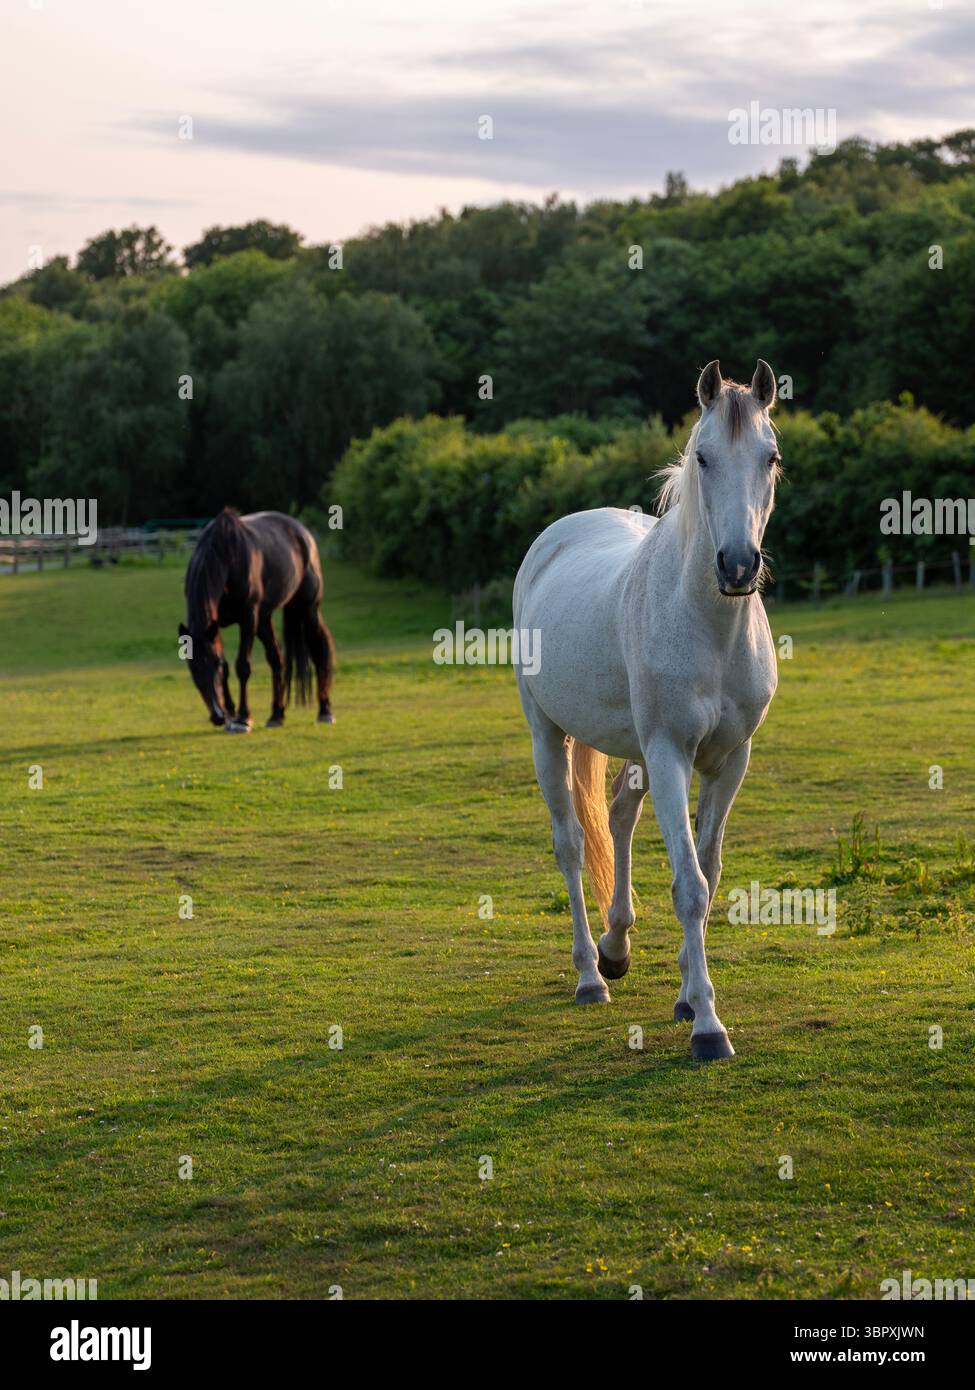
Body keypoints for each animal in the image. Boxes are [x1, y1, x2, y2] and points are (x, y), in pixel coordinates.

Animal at [179, 508, 335, 732]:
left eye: (213, 665)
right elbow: (228, 667)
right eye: (194, 668)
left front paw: (243, 718)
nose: (217, 716)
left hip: (308, 609)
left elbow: (242, 666)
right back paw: (276, 714)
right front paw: (231, 714)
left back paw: (324, 710)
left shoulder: (247, 618)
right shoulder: (217, 625)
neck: (226, 557)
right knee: (277, 658)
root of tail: (304, 534)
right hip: (264, 619)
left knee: (318, 650)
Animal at [513, 360, 780, 1060]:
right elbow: (689, 887)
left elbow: (707, 874)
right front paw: (709, 1026)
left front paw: (688, 997)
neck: (710, 627)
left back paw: (616, 947)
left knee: (618, 818)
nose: (737, 565)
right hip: (549, 736)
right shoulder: (669, 755)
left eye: (769, 457)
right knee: (571, 845)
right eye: (703, 457)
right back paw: (589, 974)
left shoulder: (729, 761)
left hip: (633, 751)